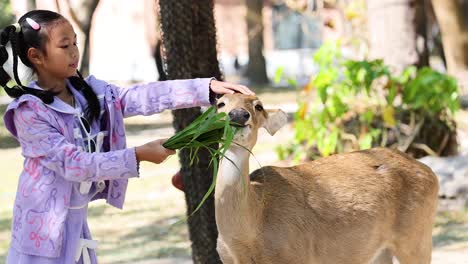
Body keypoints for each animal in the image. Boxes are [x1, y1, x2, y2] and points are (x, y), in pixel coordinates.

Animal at [214, 94, 440, 264]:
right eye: (220, 103)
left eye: (258, 106)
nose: (238, 114)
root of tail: (431, 172)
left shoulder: (297, 255)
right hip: (380, 251)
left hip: (416, 236)